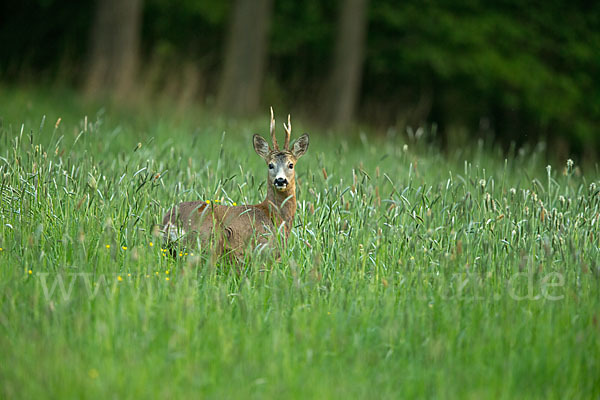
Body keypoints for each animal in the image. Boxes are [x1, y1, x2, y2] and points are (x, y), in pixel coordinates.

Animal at [161, 108, 310, 260]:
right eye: (270, 165)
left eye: (291, 164)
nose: (280, 180)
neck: (275, 216)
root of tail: (171, 220)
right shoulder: (265, 250)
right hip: (207, 242)